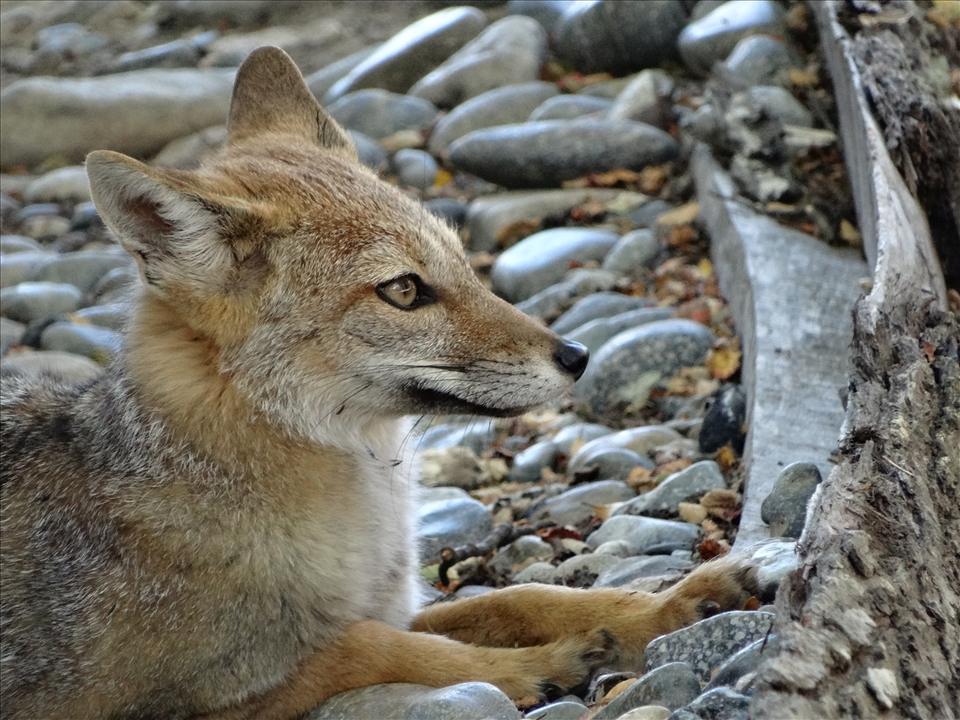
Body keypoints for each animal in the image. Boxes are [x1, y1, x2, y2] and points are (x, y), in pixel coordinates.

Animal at [0, 47, 764, 720]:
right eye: (403, 291)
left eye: (462, 261)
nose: (576, 355)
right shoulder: (182, 703)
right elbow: (370, 649)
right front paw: (539, 666)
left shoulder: (402, 604)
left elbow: (520, 598)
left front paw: (668, 607)